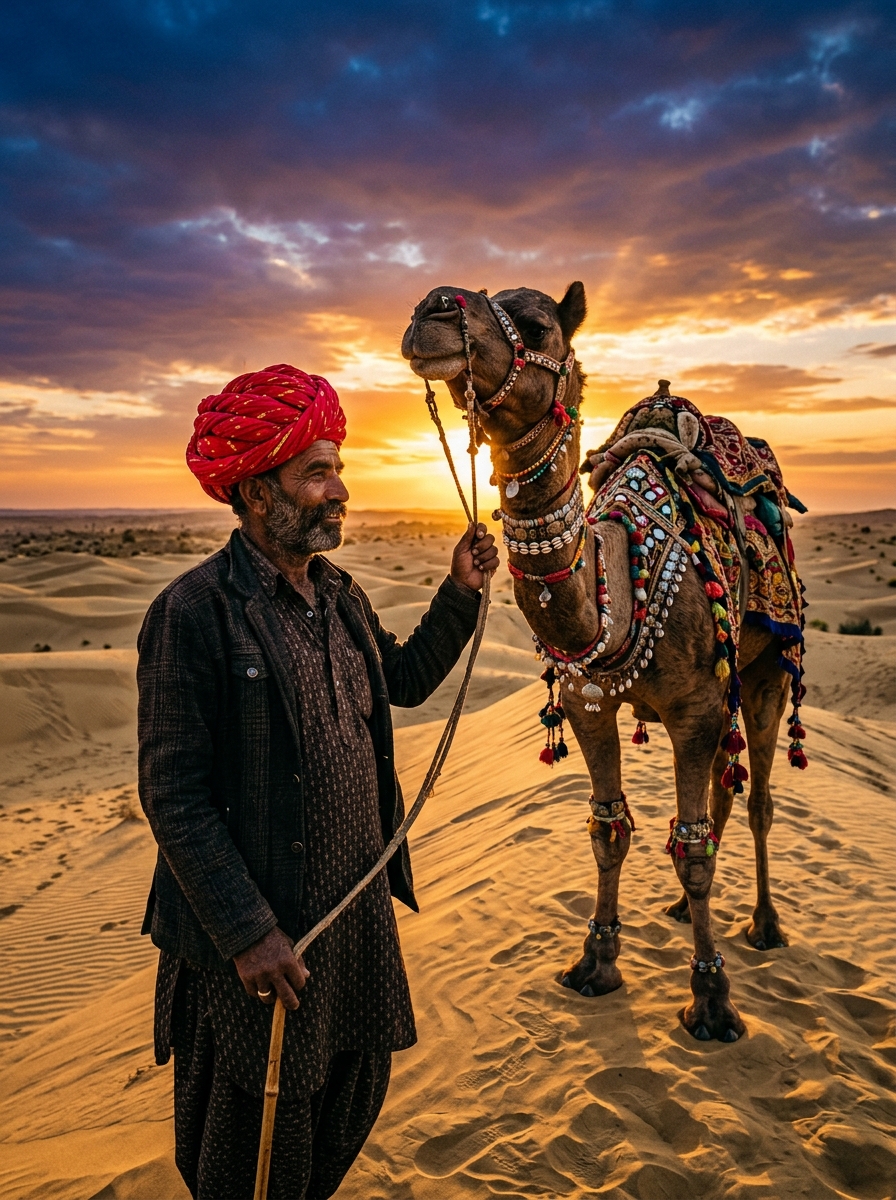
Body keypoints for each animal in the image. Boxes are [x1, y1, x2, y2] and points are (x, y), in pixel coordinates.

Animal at [401, 283, 807, 1043]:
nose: (431, 309)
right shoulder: (588, 701)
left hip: (769, 665)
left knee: (758, 797)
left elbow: (691, 848)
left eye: (536, 327)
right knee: (724, 790)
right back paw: (681, 912)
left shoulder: (693, 707)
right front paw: (595, 960)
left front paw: (712, 1001)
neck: (611, 587)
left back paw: (765, 925)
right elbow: (608, 828)